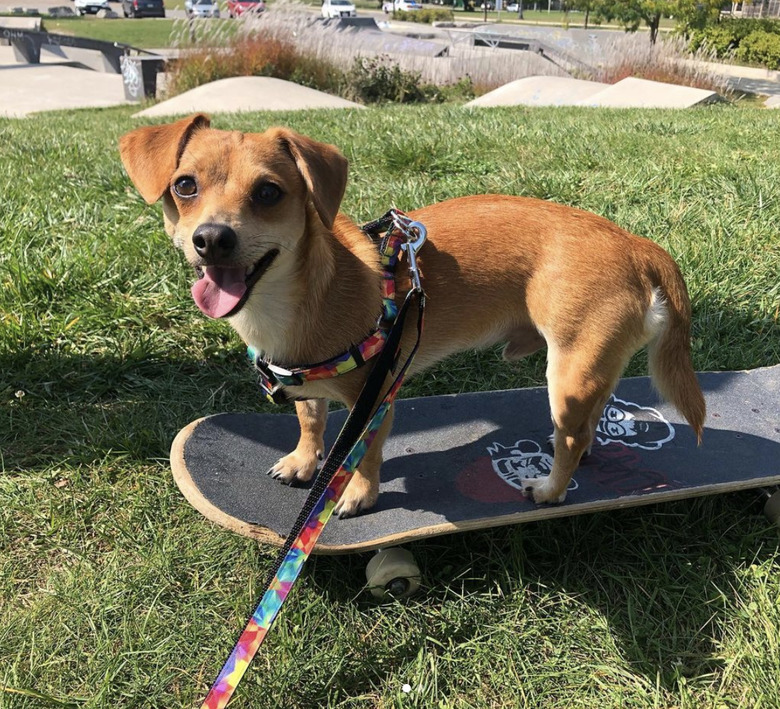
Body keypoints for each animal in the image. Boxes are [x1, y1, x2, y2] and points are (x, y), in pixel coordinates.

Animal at [120, 113, 708, 516]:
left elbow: (362, 455)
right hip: (591, 366)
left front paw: (358, 494)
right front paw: (305, 462)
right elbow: (311, 421)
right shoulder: (306, 387)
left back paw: (550, 489)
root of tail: (636, 244)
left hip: (568, 373)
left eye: (269, 192)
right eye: (185, 186)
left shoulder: (374, 399)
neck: (294, 299)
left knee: (573, 435)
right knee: (589, 423)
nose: (212, 238)